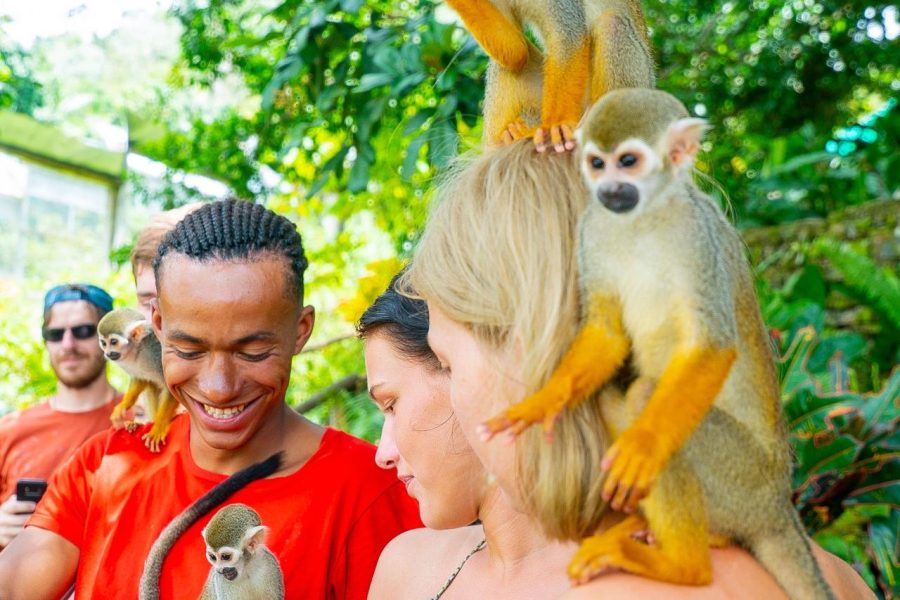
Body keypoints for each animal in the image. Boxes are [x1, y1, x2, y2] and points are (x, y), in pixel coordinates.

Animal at [98, 307, 179, 452]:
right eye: (103, 343)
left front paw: (159, 427)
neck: (137, 351)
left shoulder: (157, 353)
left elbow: (172, 386)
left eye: (113, 342)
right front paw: (123, 406)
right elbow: (140, 379)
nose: (107, 353)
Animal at [139, 452, 283, 600]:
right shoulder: (221, 583)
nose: (220, 570)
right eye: (213, 557)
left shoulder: (269, 564)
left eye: (226, 557)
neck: (246, 568)